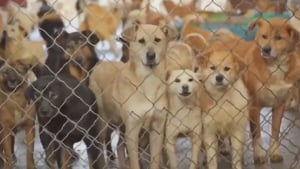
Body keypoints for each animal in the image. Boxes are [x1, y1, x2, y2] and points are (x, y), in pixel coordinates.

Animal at [196, 41, 250, 169]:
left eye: (227, 69)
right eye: (212, 68)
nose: (219, 77)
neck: (223, 99)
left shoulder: (237, 130)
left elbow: (236, 157)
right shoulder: (209, 132)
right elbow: (211, 159)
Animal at [243, 17, 300, 164]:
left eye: (278, 37)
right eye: (264, 36)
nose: (266, 49)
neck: (275, 66)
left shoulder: (280, 105)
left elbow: (275, 132)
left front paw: (275, 152)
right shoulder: (253, 106)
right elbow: (256, 134)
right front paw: (258, 155)